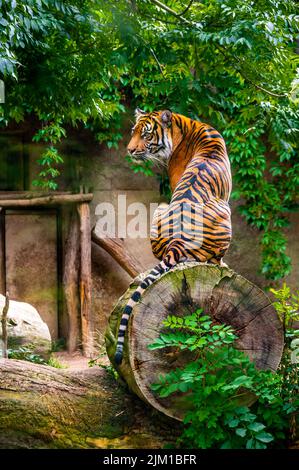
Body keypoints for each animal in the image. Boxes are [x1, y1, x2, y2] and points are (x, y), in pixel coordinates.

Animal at [113, 108, 233, 366]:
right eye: (134, 132)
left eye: (145, 135)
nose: (130, 150)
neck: (185, 126)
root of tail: (177, 243)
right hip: (223, 209)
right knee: (213, 259)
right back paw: (223, 264)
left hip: (161, 208)